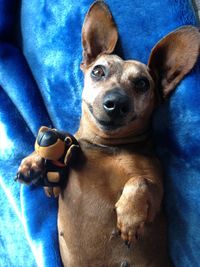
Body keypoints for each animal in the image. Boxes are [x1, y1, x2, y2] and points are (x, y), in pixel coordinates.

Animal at [17, 1, 200, 266]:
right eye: (98, 71)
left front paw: (129, 216)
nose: (116, 103)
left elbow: (140, 181)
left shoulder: (157, 198)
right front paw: (33, 162)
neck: (108, 148)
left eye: (142, 83)